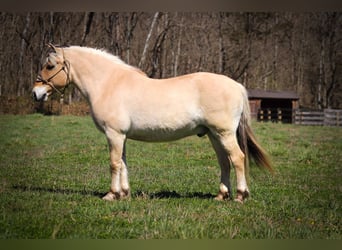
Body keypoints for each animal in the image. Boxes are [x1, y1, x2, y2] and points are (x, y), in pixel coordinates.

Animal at [32, 43, 272, 203]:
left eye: (50, 66)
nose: (36, 93)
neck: (108, 83)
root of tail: (236, 85)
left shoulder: (114, 133)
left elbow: (114, 163)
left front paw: (111, 194)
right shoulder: (121, 135)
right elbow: (123, 164)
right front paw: (124, 194)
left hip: (224, 133)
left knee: (238, 158)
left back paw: (239, 196)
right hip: (214, 135)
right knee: (224, 162)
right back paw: (221, 195)